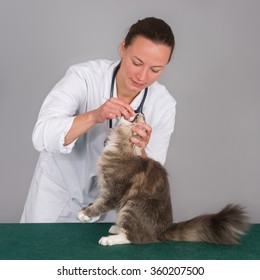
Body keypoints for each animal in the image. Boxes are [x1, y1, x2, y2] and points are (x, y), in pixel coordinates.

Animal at [76, 113, 248, 245]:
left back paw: (110, 239)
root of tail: (162, 230)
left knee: (135, 237)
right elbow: (95, 201)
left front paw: (84, 214)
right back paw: (116, 228)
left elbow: (99, 204)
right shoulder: (106, 188)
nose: (141, 113)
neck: (121, 147)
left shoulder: (113, 191)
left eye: (144, 120)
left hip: (131, 205)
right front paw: (83, 209)